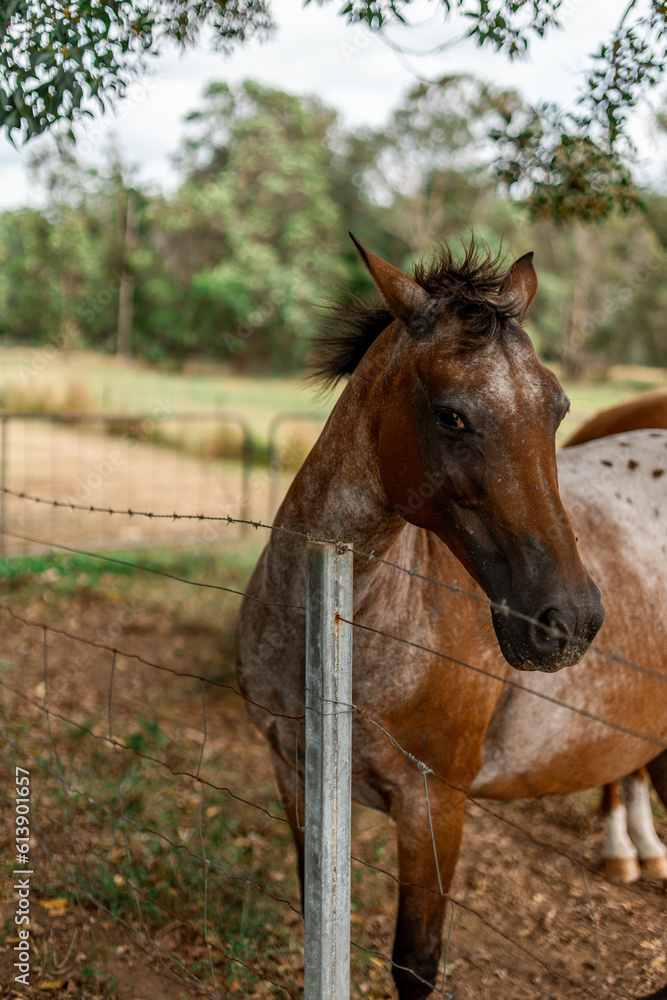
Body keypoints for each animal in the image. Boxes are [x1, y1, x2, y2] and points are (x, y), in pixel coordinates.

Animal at [235, 236, 667, 1000]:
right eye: (451, 416)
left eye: (557, 409)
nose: (569, 621)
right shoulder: (296, 776)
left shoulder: (435, 807)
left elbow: (416, 961)